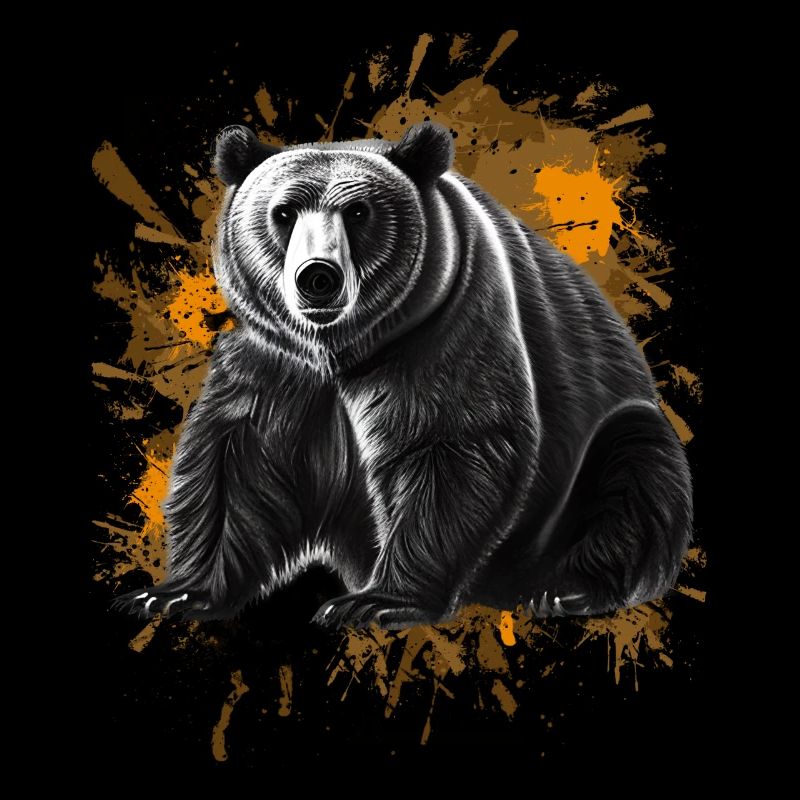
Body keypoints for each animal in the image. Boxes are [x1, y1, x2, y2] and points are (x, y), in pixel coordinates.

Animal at [115, 122, 692, 628]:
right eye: (283, 211)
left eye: (358, 210)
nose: (318, 277)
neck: (342, 350)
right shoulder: (278, 361)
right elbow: (238, 461)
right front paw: (172, 592)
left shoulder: (447, 327)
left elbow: (450, 444)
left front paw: (375, 601)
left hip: (601, 450)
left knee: (635, 472)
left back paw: (566, 591)